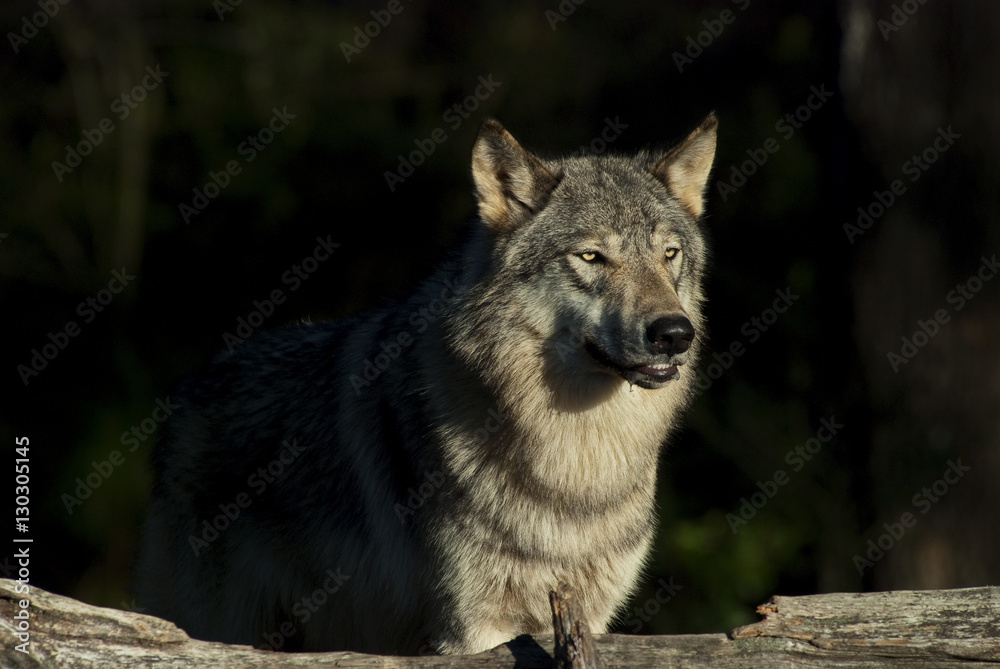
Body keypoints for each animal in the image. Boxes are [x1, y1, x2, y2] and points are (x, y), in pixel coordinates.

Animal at [139, 113, 720, 652]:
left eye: (669, 254)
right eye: (592, 257)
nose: (674, 334)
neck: (576, 468)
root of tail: (190, 387)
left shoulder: (586, 621)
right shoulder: (475, 628)